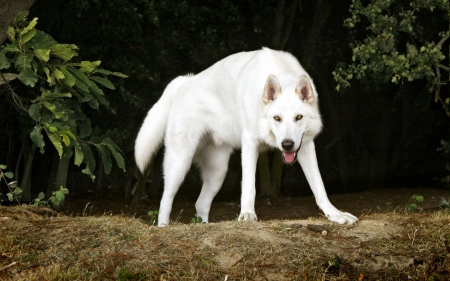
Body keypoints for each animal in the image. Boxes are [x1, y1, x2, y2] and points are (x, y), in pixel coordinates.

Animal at [135, 47, 356, 225]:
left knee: (200, 204)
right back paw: (164, 227)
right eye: (277, 118)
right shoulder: (250, 142)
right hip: (180, 164)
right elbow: (249, 186)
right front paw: (247, 215)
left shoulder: (305, 145)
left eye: (298, 117)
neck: (281, 73)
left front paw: (335, 215)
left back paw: (204, 226)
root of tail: (184, 81)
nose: (286, 144)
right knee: (165, 201)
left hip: (218, 173)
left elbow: (319, 186)